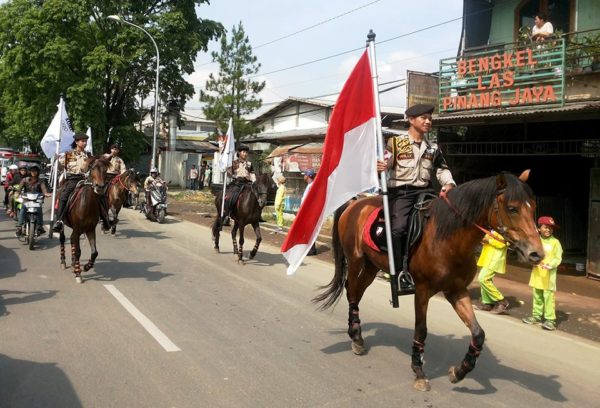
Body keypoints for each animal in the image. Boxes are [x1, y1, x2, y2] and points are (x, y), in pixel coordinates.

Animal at [314, 170, 544, 392]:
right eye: (512, 208)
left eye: (533, 208)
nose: (537, 254)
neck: (448, 238)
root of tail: (355, 203)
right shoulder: (422, 290)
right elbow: (421, 330)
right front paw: (418, 371)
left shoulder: (456, 290)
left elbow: (478, 333)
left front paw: (460, 370)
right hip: (355, 260)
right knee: (352, 291)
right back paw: (355, 337)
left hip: (371, 266)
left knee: (358, 292)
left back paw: (357, 336)